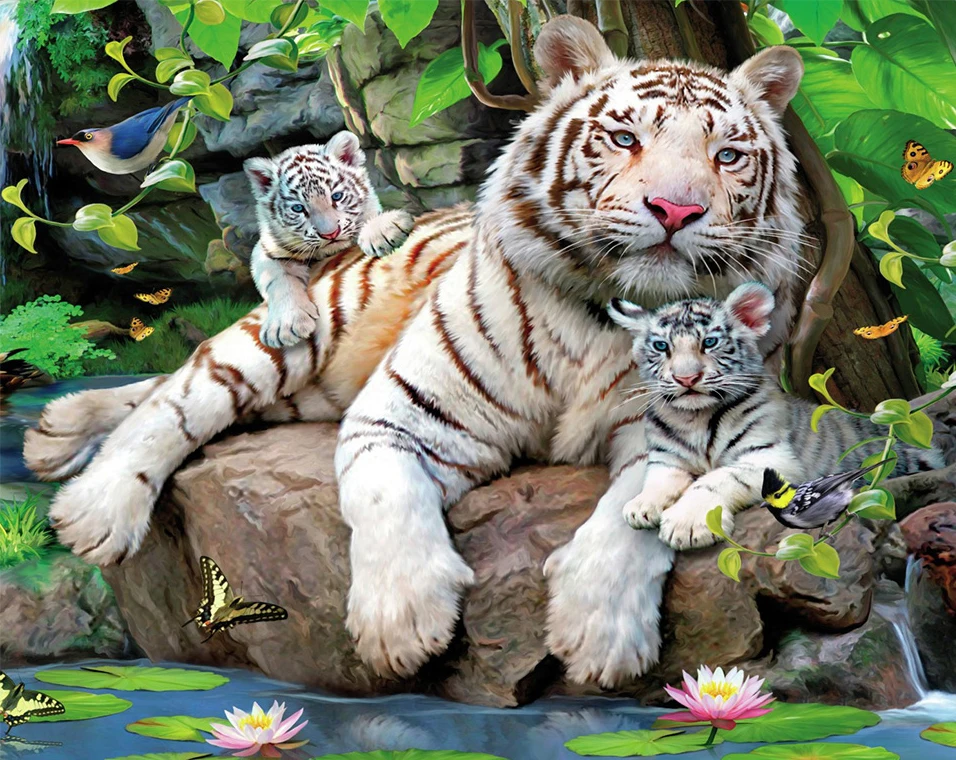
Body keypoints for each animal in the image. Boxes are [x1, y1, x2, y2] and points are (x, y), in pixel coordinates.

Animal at [247, 131, 414, 347]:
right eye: (298, 208)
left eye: (337, 196)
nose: (330, 234)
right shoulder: (266, 250)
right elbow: (278, 280)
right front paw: (286, 325)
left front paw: (383, 231)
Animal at [607, 282, 943, 547]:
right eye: (661, 346)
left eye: (710, 342)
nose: (686, 378)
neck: (695, 418)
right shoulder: (667, 458)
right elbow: (659, 478)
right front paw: (641, 506)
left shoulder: (771, 458)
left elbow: (716, 479)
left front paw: (686, 524)